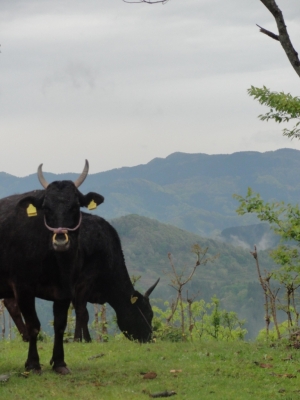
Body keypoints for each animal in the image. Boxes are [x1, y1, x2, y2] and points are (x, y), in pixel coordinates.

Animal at [0, 161, 104, 374]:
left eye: (75, 206)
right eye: (46, 208)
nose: (61, 241)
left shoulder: (66, 290)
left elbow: (60, 325)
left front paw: (59, 362)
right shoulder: (23, 288)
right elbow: (33, 325)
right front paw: (33, 364)